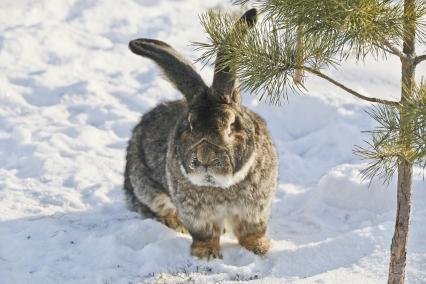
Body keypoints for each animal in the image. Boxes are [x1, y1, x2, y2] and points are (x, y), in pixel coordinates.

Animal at [122, 8, 280, 260]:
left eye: (231, 125)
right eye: (190, 124)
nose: (205, 158)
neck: (221, 187)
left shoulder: (254, 210)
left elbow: (251, 231)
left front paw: (259, 248)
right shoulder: (198, 215)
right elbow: (205, 234)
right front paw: (206, 254)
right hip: (145, 187)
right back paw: (175, 224)